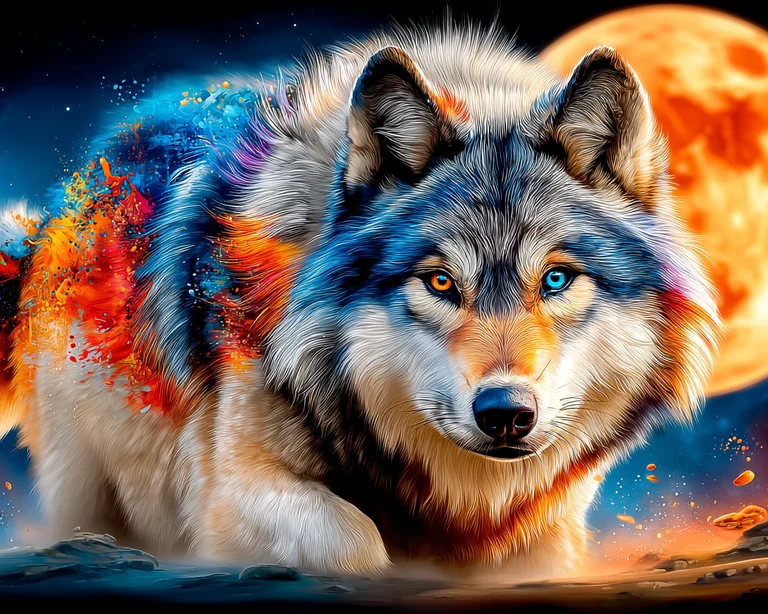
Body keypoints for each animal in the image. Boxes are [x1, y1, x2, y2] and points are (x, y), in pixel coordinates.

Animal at [0, 22, 721, 580]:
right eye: (439, 282)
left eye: (556, 279)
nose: (506, 414)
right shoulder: (234, 495)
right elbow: (357, 544)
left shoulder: (547, 531)